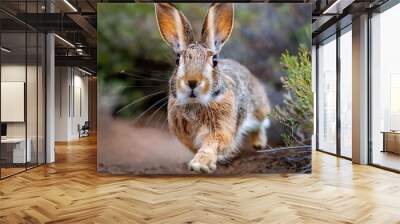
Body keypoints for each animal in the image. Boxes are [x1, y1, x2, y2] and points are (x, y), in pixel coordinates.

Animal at [155, 2, 270, 173]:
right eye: (177, 61)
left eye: (214, 61)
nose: (192, 82)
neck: (196, 103)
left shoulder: (222, 128)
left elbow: (213, 142)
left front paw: (201, 164)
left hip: (258, 108)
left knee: (261, 123)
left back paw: (259, 143)